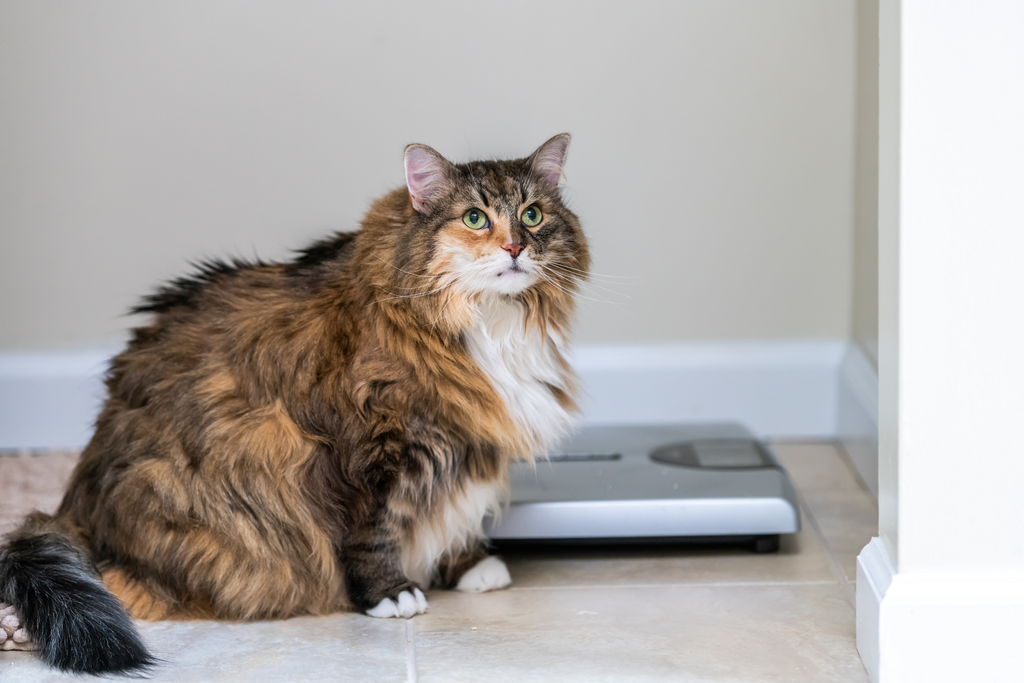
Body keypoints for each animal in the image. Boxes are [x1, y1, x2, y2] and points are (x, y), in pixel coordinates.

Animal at [0, 133, 589, 671]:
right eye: (474, 218)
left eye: (533, 215)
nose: (516, 247)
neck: (489, 322)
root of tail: (73, 504)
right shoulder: (365, 449)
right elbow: (373, 532)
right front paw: (392, 594)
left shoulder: (466, 442)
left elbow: (455, 504)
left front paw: (468, 565)